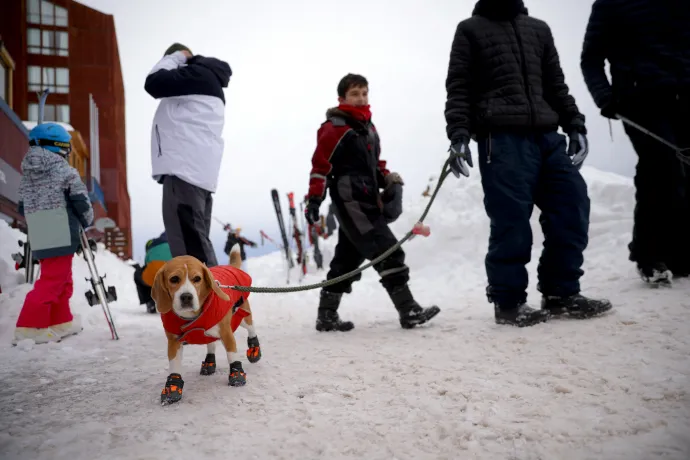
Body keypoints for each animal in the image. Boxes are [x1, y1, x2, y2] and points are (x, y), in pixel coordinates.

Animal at [151, 244, 260, 406]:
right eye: (174, 279)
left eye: (197, 279)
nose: (186, 297)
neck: (191, 317)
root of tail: (231, 266)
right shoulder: (173, 342)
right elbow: (174, 366)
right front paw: (173, 387)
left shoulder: (226, 333)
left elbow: (232, 355)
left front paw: (236, 374)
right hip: (210, 331)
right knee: (211, 343)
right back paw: (209, 362)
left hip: (242, 316)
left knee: (251, 327)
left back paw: (254, 348)